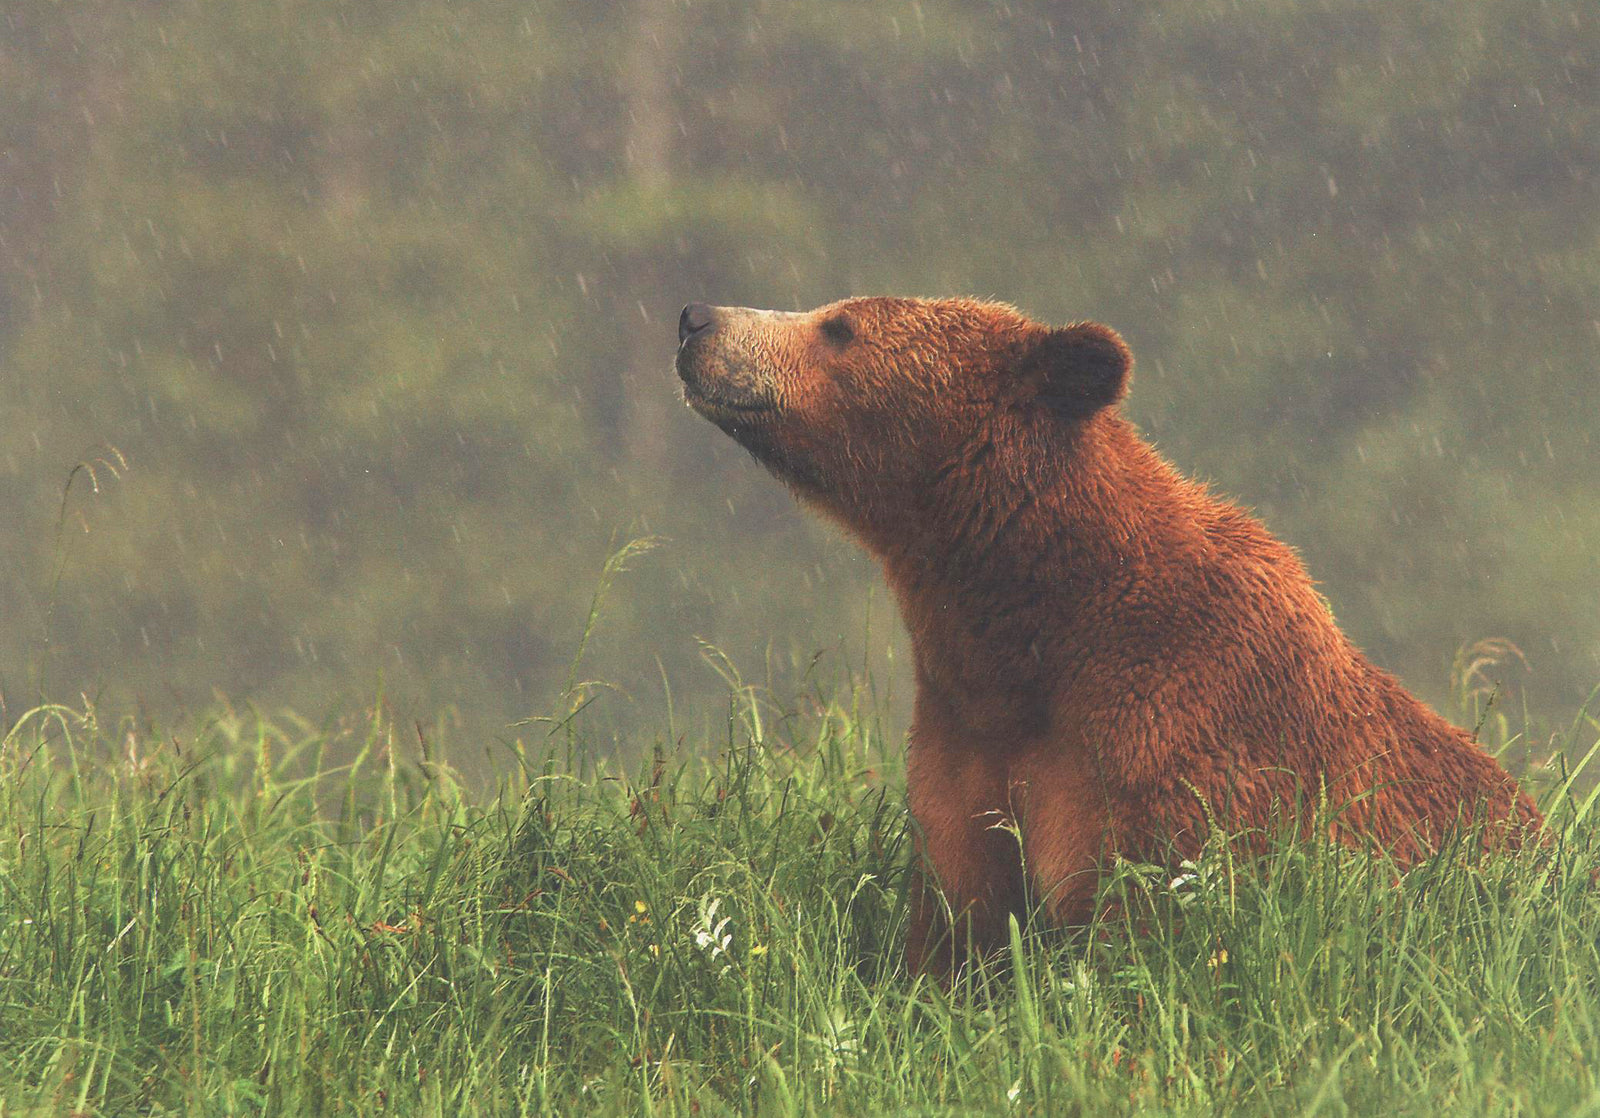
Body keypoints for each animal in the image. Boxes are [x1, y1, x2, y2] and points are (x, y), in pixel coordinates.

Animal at [674, 296, 1543, 975]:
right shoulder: (964, 747)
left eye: (840, 326)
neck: (1034, 623)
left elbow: (1147, 928)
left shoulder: (1170, 743)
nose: (697, 319)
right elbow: (955, 928)